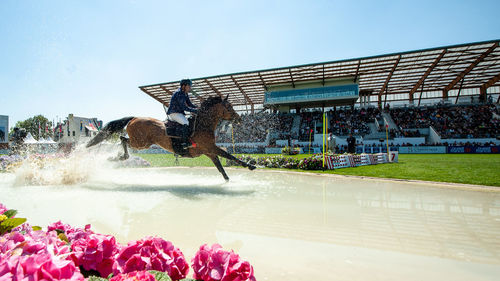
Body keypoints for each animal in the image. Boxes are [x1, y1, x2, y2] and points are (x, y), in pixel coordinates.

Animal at [86, 95, 256, 180]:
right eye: (229, 107)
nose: (238, 119)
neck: (203, 125)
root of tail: (134, 118)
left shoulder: (209, 152)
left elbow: (221, 168)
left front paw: (228, 180)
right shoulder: (211, 148)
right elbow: (230, 155)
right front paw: (250, 166)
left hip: (142, 143)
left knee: (121, 141)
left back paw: (115, 157)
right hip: (141, 142)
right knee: (122, 139)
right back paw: (119, 157)